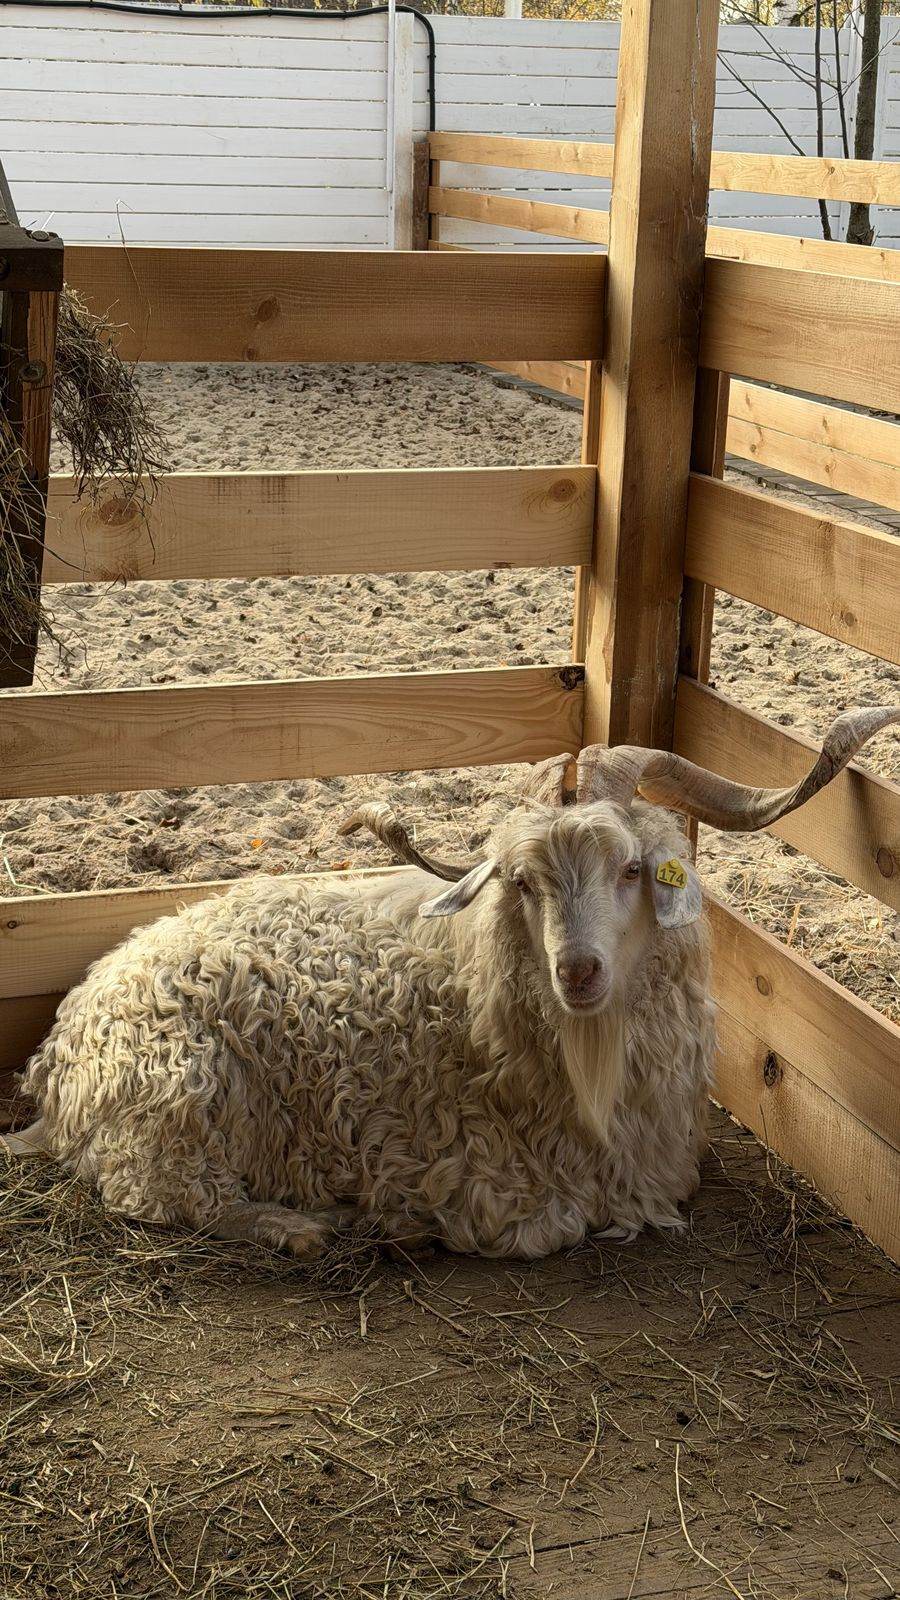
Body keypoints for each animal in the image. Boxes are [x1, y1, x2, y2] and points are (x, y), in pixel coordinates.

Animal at [6, 706, 896, 1260]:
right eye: (523, 883)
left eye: (632, 869)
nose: (577, 970)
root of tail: (57, 1060)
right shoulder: (493, 1184)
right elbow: (559, 1222)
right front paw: (400, 1221)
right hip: (176, 1100)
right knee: (165, 1196)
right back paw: (307, 1226)